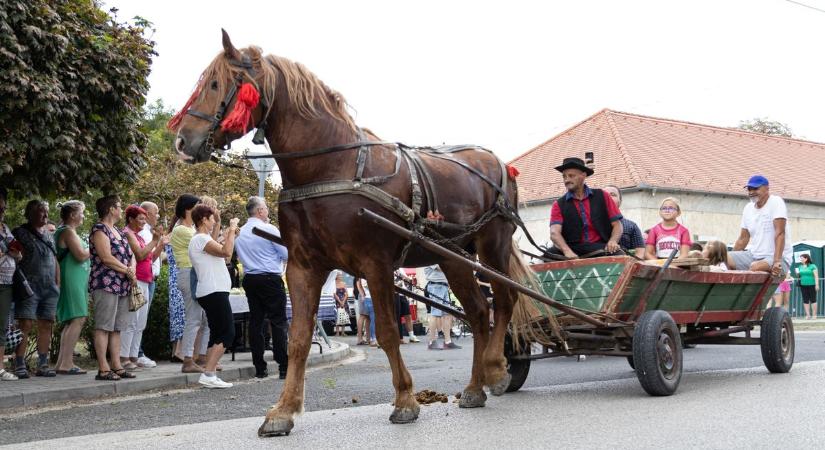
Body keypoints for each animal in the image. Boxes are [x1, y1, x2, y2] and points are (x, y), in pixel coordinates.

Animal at [171, 30, 536, 436]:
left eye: (216, 83)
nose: (183, 140)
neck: (332, 166)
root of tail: (499, 163)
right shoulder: (303, 267)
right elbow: (298, 339)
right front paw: (284, 410)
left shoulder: (375, 264)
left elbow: (388, 332)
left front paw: (405, 400)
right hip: (452, 257)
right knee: (477, 312)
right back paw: (474, 387)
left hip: (493, 246)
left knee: (503, 301)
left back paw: (496, 368)